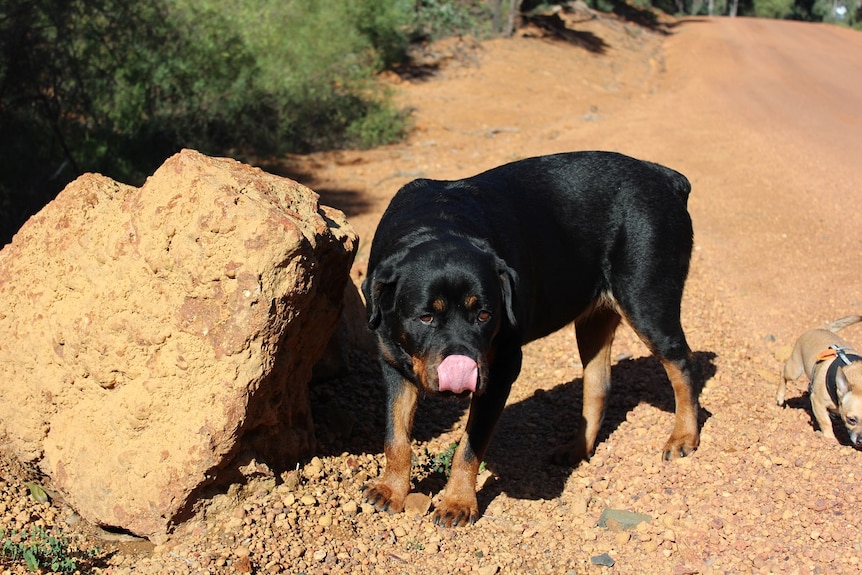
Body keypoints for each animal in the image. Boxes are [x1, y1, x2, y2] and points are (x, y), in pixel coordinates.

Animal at [362, 152, 700, 528]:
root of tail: (666, 177)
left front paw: (457, 502)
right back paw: (577, 448)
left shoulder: (502, 369)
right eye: (425, 317)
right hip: (593, 320)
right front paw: (391, 489)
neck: (438, 224)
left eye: (485, 315)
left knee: (682, 364)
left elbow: (470, 445)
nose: (463, 367)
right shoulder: (392, 362)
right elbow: (396, 435)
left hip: (647, 300)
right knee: (598, 383)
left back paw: (684, 436)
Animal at [780, 316, 862, 446]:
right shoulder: (817, 402)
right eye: (852, 420)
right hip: (794, 371)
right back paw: (780, 397)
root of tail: (819, 328)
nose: (861, 441)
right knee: (783, 375)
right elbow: (825, 422)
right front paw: (829, 438)